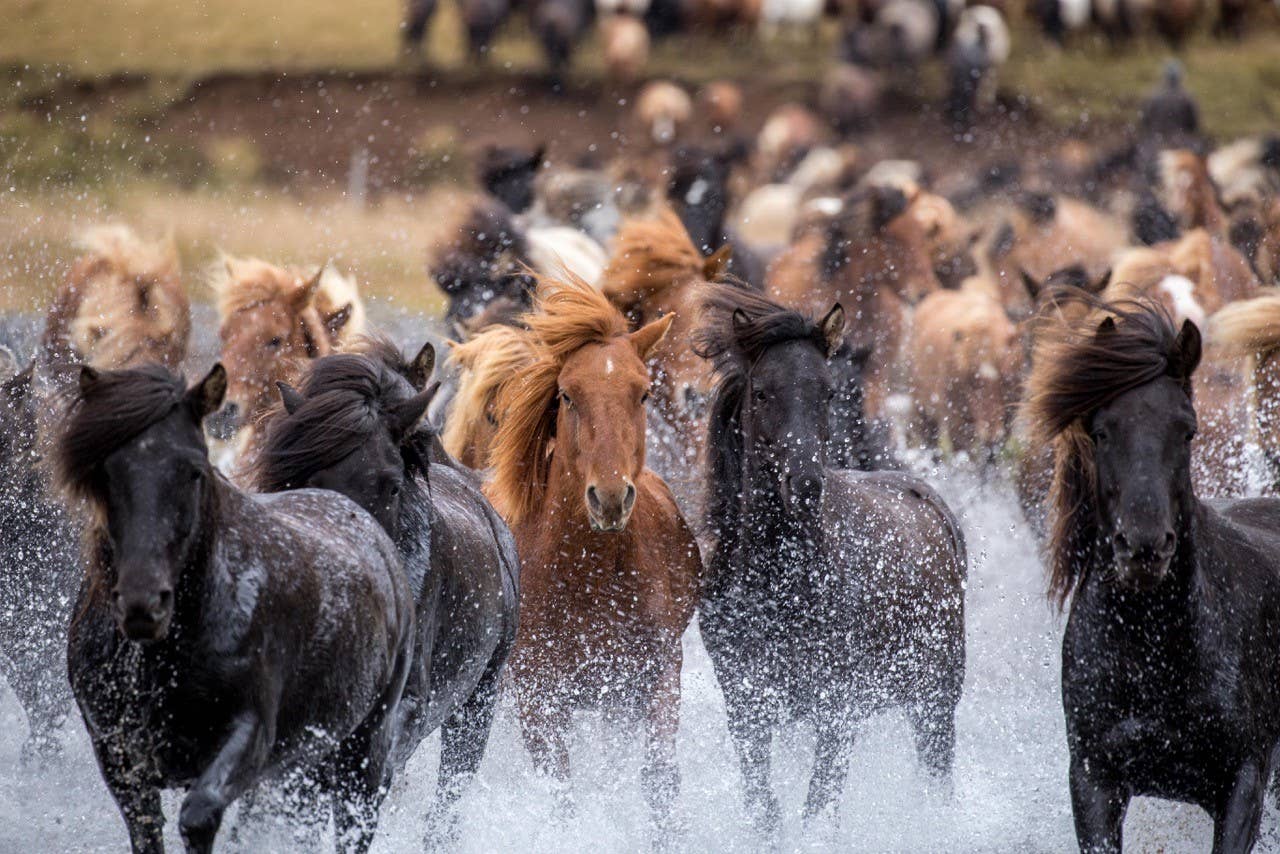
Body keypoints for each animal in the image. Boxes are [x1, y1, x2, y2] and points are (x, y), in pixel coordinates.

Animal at [58, 363, 413, 853]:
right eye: (103, 471)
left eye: (194, 471)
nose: (142, 604)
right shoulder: (119, 756)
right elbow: (148, 831)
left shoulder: (250, 735)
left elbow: (199, 816)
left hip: (364, 752)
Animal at [485, 274, 702, 840]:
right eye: (567, 394)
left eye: (642, 392)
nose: (609, 498)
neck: (589, 580)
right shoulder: (539, 699)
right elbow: (562, 793)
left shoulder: (653, 678)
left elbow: (658, 778)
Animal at [693, 283, 967, 836]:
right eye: (762, 393)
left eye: (827, 393)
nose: (804, 485)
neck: (779, 586)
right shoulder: (747, 709)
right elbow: (766, 809)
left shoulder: (837, 711)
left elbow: (817, 810)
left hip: (936, 699)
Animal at [1024, 293, 1280, 854]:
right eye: (1101, 431)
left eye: (1187, 429)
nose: (1143, 547)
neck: (1154, 653)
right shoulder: (1094, 779)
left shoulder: (1245, 777)